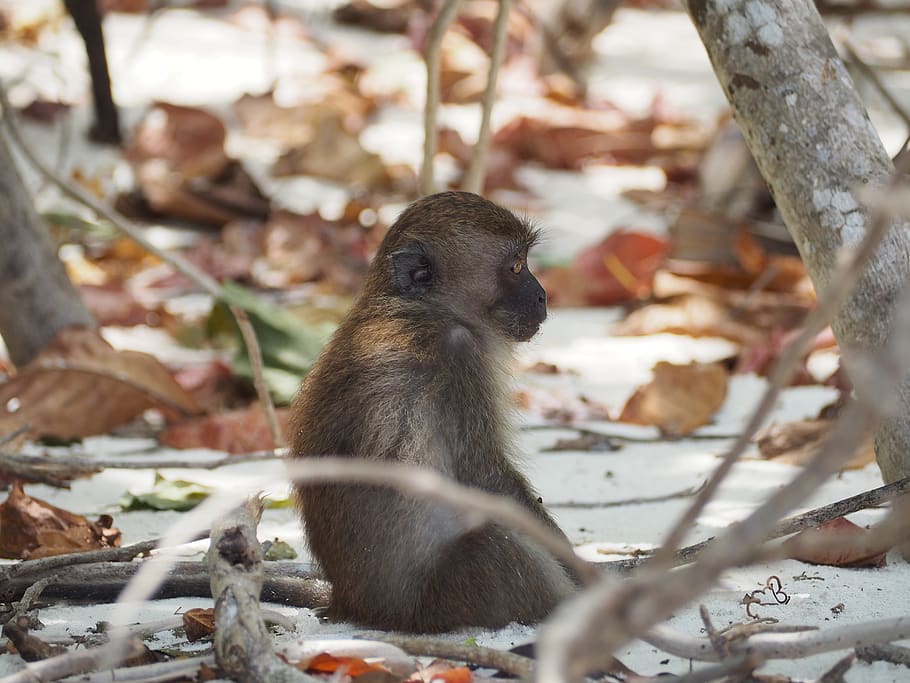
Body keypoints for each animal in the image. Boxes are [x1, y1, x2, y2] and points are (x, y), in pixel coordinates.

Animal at [290, 191, 577, 633]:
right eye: (515, 266)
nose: (543, 295)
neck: (423, 309)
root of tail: (351, 606)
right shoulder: (459, 356)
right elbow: (486, 478)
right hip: (447, 597)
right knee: (496, 545)